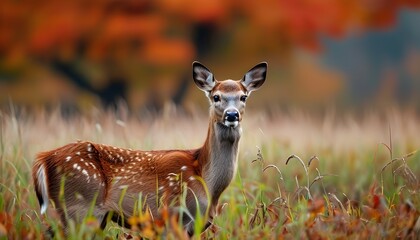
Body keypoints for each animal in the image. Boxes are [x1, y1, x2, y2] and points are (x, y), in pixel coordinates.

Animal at [33, 61, 270, 236]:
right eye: (216, 97)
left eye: (243, 96)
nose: (232, 115)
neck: (207, 183)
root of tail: (43, 159)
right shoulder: (172, 215)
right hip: (80, 207)